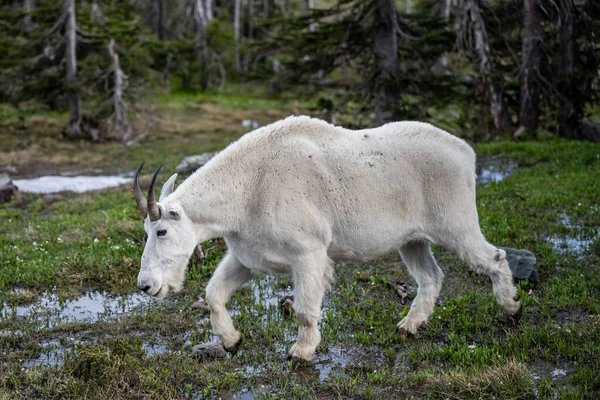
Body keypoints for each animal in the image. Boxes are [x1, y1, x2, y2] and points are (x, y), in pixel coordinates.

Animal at [132, 115, 520, 362]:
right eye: (147, 232)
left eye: (161, 231)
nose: (146, 285)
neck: (249, 187)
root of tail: (466, 152)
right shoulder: (248, 257)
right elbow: (214, 295)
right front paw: (231, 342)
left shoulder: (308, 252)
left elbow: (305, 309)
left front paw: (301, 352)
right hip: (412, 240)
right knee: (431, 276)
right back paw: (408, 327)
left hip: (456, 224)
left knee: (495, 256)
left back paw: (512, 307)